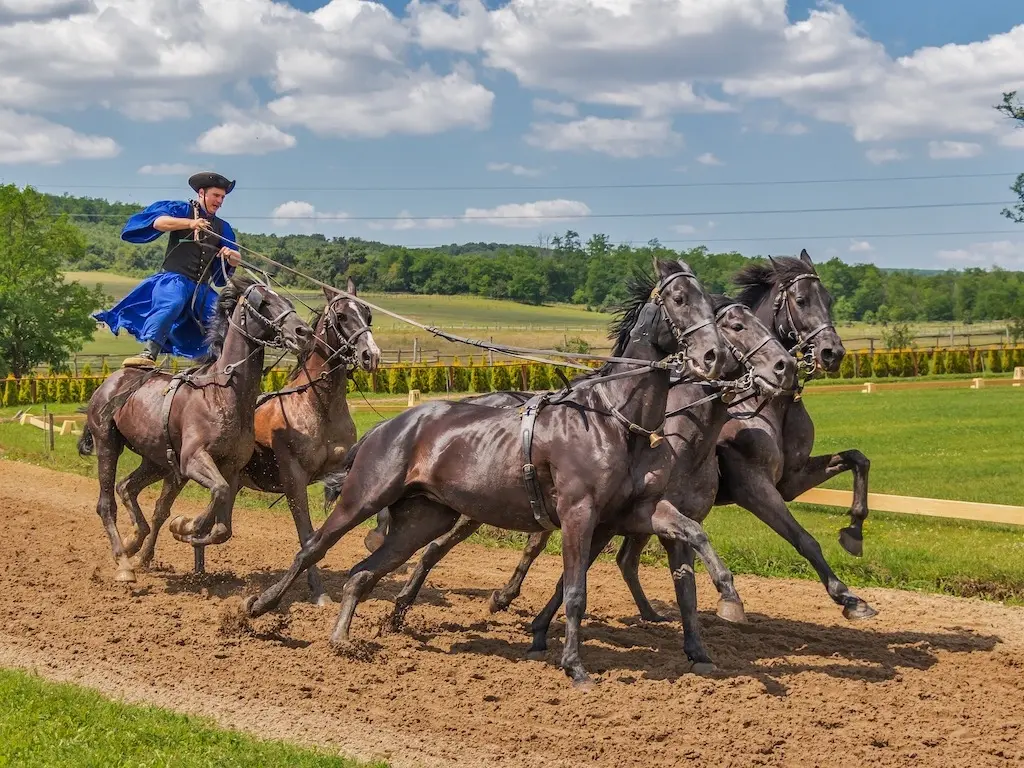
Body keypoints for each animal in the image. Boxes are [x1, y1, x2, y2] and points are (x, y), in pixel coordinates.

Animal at [77, 276, 311, 581]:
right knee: (106, 504)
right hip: (108, 444)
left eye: (287, 300)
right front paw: (186, 525)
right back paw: (124, 562)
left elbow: (223, 526)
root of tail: (109, 382)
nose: (303, 332)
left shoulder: (231, 467)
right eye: (264, 302)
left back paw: (134, 540)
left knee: (127, 487)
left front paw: (187, 529)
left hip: (157, 461)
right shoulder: (193, 460)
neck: (221, 393)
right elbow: (218, 492)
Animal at [122, 280, 380, 606]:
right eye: (343, 316)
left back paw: (198, 567)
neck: (317, 405)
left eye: (367, 315)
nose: (371, 355)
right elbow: (306, 534)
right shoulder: (294, 479)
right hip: (178, 473)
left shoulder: (340, 470)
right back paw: (146, 554)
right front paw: (319, 593)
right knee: (160, 510)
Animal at [239, 262, 737, 688]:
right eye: (678, 298)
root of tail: (386, 427)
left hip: (425, 518)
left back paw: (342, 637)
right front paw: (574, 666)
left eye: (712, 303)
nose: (712, 356)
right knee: (313, 548)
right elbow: (575, 591)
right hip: (364, 497)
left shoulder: (633, 511)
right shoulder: (579, 513)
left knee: (365, 572)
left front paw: (728, 595)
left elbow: (692, 531)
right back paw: (258, 607)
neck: (614, 418)